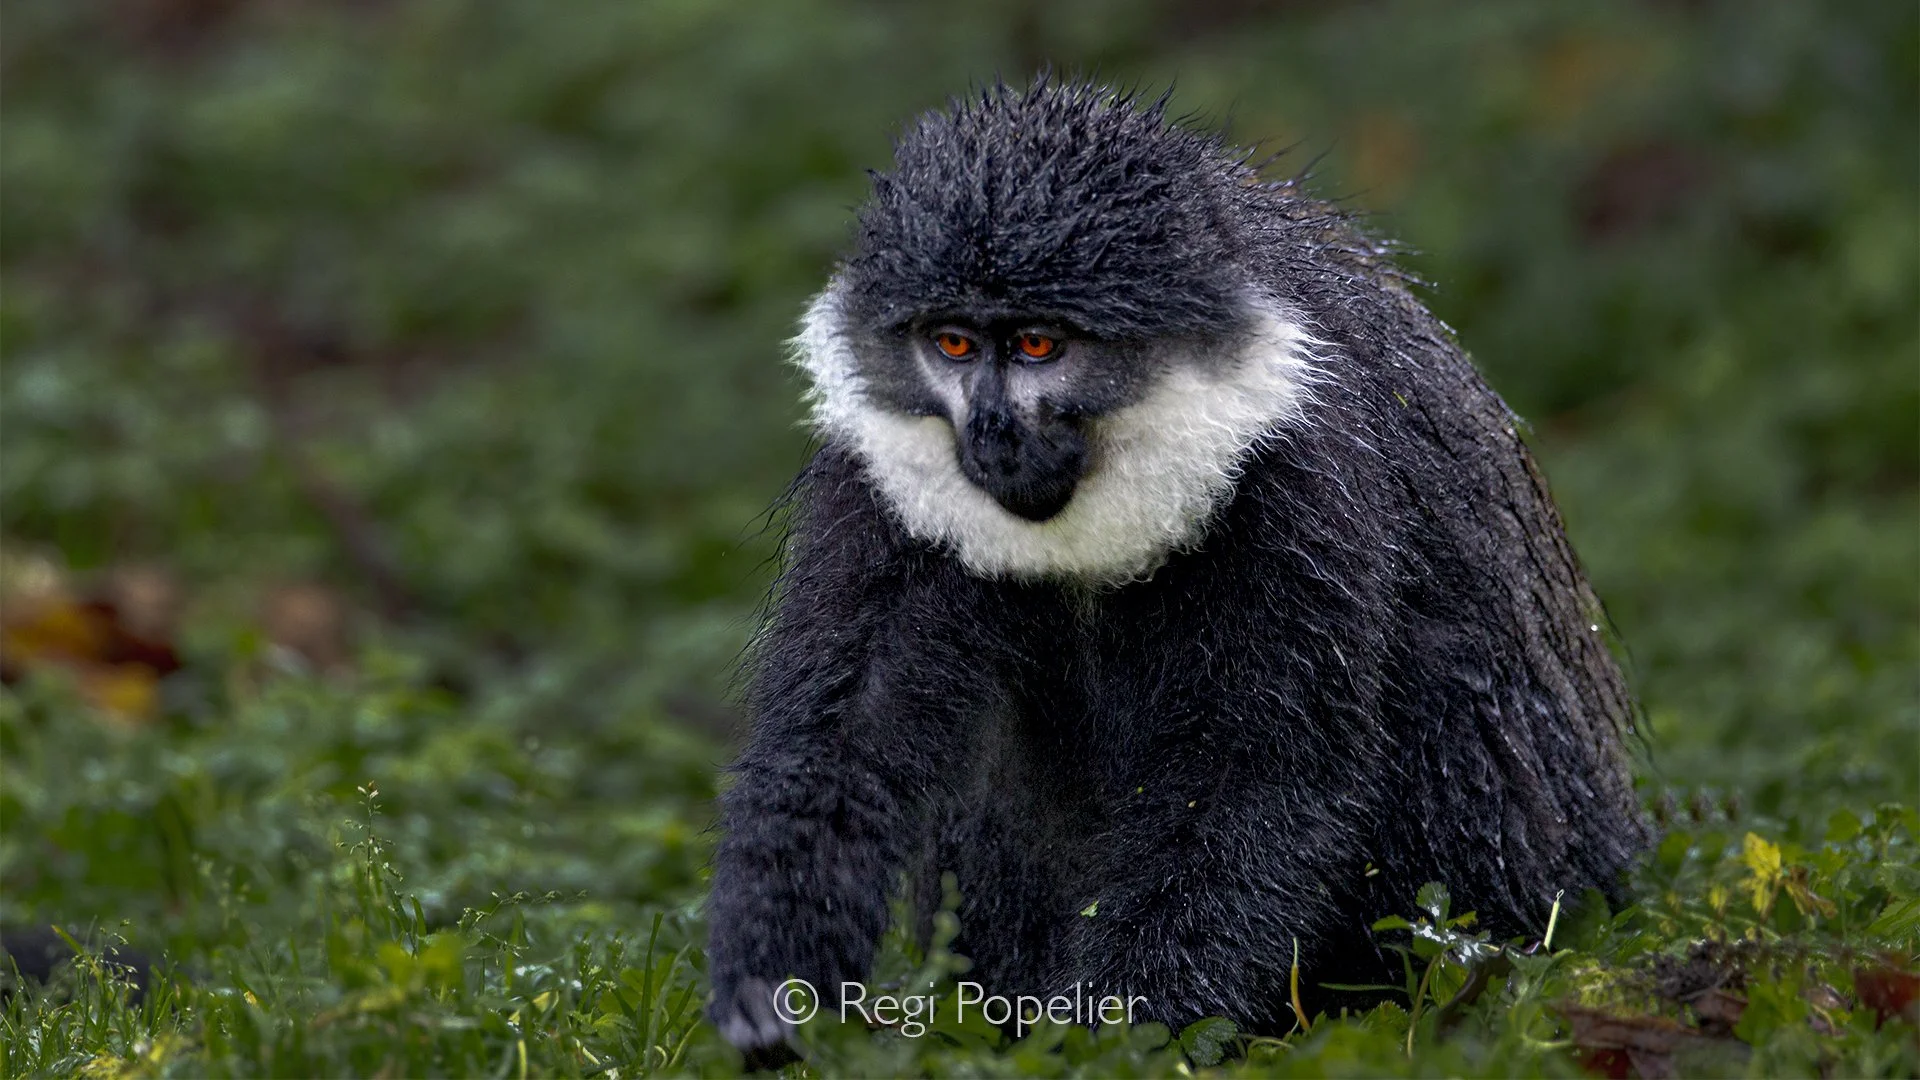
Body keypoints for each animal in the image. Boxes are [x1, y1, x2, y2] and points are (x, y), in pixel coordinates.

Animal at [703, 78, 1648, 1060]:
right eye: (953, 344)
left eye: (1038, 346)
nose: (992, 432)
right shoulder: (881, 484)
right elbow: (843, 736)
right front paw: (770, 980)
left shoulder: (1299, 483)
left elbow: (1255, 776)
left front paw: (1110, 1038)